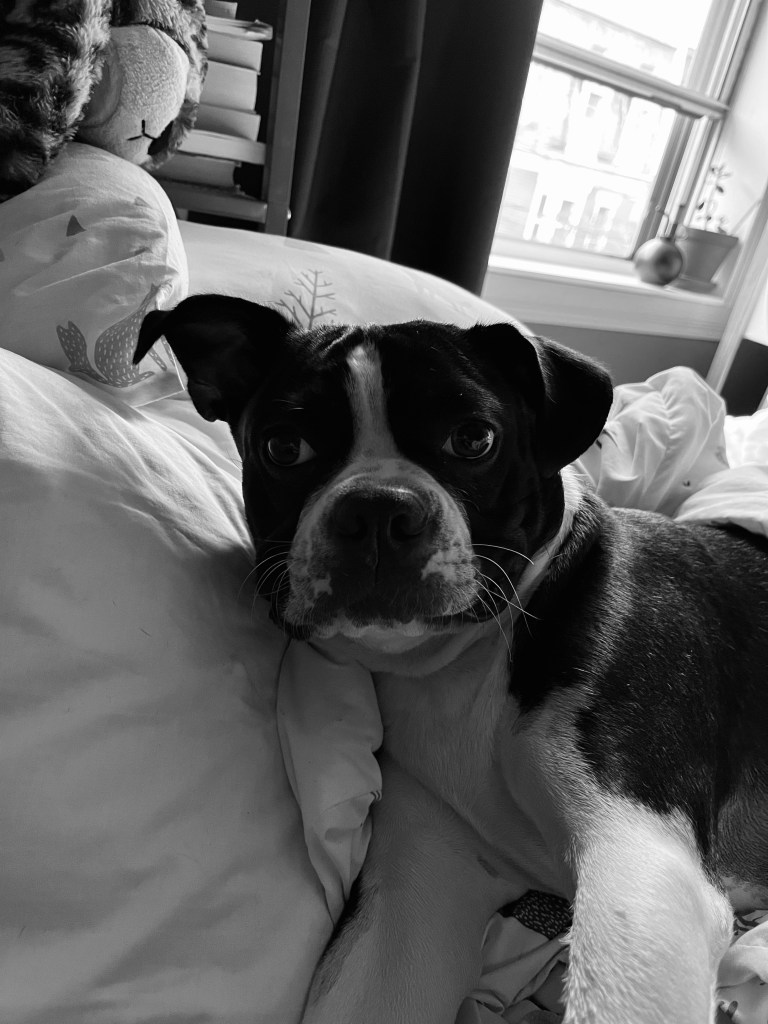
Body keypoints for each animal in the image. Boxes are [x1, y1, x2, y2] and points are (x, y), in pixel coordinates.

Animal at [136, 297, 768, 1024]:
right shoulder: (416, 900)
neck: (462, 665)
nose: (375, 507)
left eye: (473, 440)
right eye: (283, 448)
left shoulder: (638, 865)